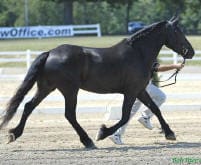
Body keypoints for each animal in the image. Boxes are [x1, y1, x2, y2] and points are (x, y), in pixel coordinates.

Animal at [0, 16, 195, 148]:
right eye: (178, 31)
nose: (191, 52)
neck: (138, 53)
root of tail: (50, 53)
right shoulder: (131, 91)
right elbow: (125, 116)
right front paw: (103, 132)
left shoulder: (140, 90)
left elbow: (155, 108)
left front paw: (170, 133)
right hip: (69, 90)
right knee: (69, 114)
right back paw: (87, 141)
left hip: (46, 87)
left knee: (28, 106)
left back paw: (14, 134)